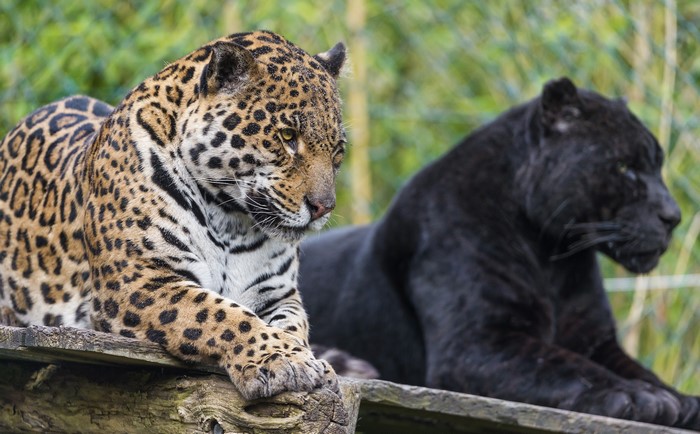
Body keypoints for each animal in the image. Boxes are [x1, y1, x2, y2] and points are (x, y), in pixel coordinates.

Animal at [0, 30, 348, 401]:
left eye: (337, 151)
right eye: (287, 136)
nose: (323, 207)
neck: (232, 220)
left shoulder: (278, 293)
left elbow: (293, 324)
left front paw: (307, 358)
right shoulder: (137, 279)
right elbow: (221, 314)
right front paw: (282, 358)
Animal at [299, 78, 700, 429]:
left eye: (658, 166)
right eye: (625, 168)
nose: (674, 216)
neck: (552, 255)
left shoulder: (595, 339)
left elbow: (636, 369)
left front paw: (680, 400)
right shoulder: (479, 343)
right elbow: (567, 367)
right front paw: (640, 398)